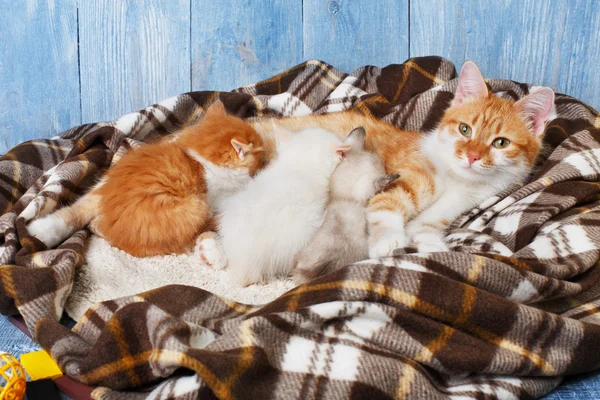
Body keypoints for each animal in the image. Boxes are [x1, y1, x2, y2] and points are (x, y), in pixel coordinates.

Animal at [27, 100, 268, 256]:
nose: (265, 161)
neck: (197, 155)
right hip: (196, 207)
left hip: (103, 187)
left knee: (75, 213)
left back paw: (40, 230)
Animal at [246, 60, 556, 258]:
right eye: (465, 129)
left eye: (500, 143)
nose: (471, 156)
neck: (455, 178)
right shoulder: (403, 178)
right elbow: (385, 205)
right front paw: (386, 241)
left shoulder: (459, 204)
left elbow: (425, 227)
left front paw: (432, 247)